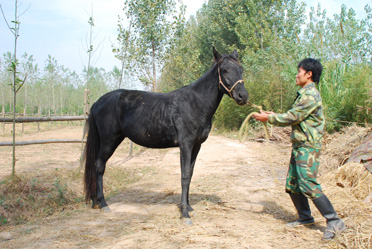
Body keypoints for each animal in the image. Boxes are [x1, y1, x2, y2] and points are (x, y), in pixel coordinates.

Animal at [83, 47, 248, 224]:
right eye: (224, 70)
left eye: (241, 69)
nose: (243, 96)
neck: (195, 103)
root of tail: (98, 102)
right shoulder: (185, 145)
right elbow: (184, 176)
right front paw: (185, 214)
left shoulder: (196, 146)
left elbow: (190, 175)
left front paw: (189, 207)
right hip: (109, 140)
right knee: (99, 165)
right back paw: (103, 204)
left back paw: (95, 202)